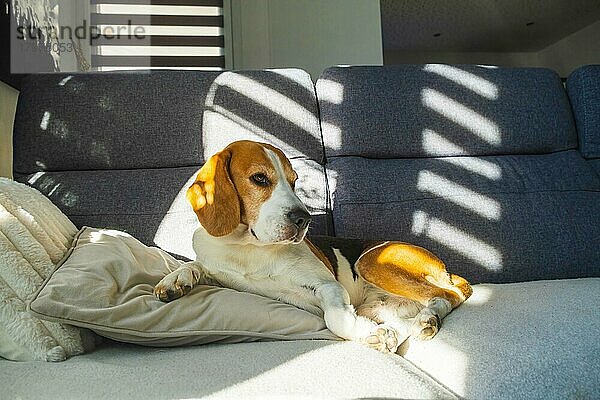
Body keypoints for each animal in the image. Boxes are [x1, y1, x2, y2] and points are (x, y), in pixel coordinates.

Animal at [156, 141, 474, 354]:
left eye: (294, 182)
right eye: (259, 178)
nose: (303, 219)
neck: (248, 246)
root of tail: (445, 269)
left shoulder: (328, 287)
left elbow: (334, 318)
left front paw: (369, 335)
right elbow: (194, 264)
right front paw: (175, 279)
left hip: (371, 261)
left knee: (449, 294)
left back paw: (428, 319)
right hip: (381, 303)